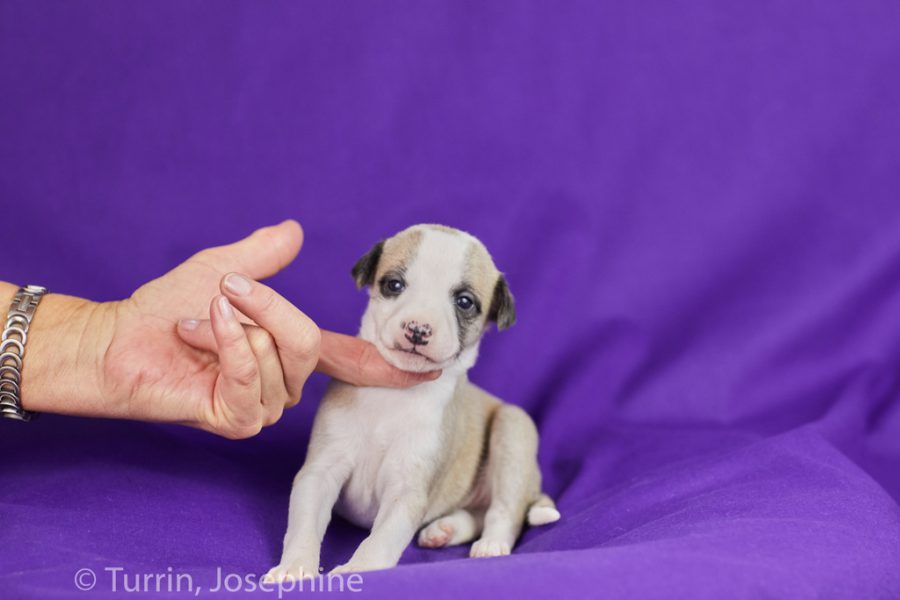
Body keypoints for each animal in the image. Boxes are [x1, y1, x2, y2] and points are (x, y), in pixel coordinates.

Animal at [268, 223, 560, 580]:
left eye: (465, 302)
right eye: (394, 284)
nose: (418, 329)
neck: (395, 393)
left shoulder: (407, 489)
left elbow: (380, 539)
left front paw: (360, 569)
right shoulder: (320, 471)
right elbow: (304, 525)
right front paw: (293, 569)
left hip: (513, 427)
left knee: (504, 511)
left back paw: (491, 545)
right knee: (475, 513)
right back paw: (444, 530)